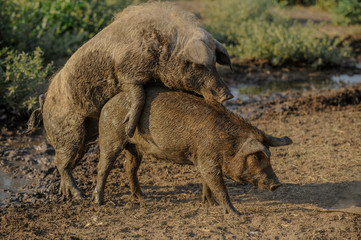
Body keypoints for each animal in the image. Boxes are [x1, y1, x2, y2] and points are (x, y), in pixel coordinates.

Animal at [39, 2, 231, 199]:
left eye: (215, 62)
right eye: (198, 65)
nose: (227, 94)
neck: (163, 50)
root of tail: (43, 102)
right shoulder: (126, 74)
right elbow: (138, 96)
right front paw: (129, 128)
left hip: (86, 135)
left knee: (67, 161)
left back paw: (66, 194)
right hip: (68, 132)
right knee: (60, 161)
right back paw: (79, 195)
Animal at [93, 86, 292, 216]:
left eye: (269, 156)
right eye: (256, 157)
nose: (277, 184)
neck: (227, 143)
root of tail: (108, 103)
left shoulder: (202, 160)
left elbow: (207, 183)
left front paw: (210, 204)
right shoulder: (207, 159)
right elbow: (220, 187)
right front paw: (236, 214)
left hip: (135, 147)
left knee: (129, 167)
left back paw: (141, 197)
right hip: (110, 137)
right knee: (103, 167)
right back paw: (99, 202)